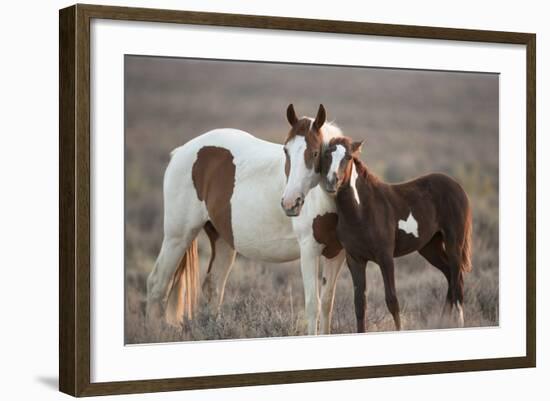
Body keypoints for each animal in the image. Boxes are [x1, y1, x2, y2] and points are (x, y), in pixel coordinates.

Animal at [147, 104, 344, 334]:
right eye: (286, 151)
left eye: (315, 153)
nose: (290, 203)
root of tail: (181, 152)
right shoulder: (309, 250)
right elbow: (314, 304)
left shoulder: (336, 254)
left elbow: (327, 304)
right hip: (177, 237)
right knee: (157, 284)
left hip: (222, 240)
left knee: (213, 287)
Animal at [324, 136, 474, 330]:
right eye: (327, 154)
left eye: (348, 157)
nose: (331, 182)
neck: (362, 211)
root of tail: (457, 186)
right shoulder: (355, 260)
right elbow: (359, 304)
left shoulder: (385, 258)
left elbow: (392, 301)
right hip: (430, 247)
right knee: (449, 275)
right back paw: (442, 323)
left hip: (454, 243)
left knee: (458, 283)